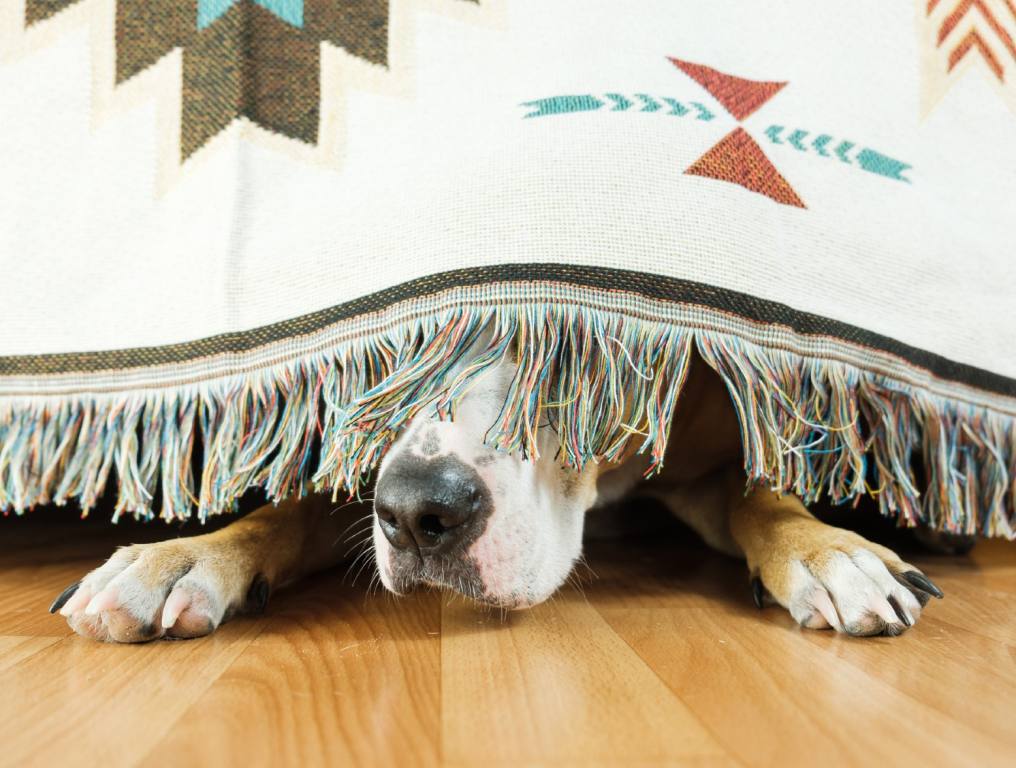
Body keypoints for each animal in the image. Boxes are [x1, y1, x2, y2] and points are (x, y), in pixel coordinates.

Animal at [51, 347, 946, 642]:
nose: (419, 514)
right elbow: (286, 512)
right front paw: (178, 560)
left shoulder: (706, 457)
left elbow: (766, 496)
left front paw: (830, 554)